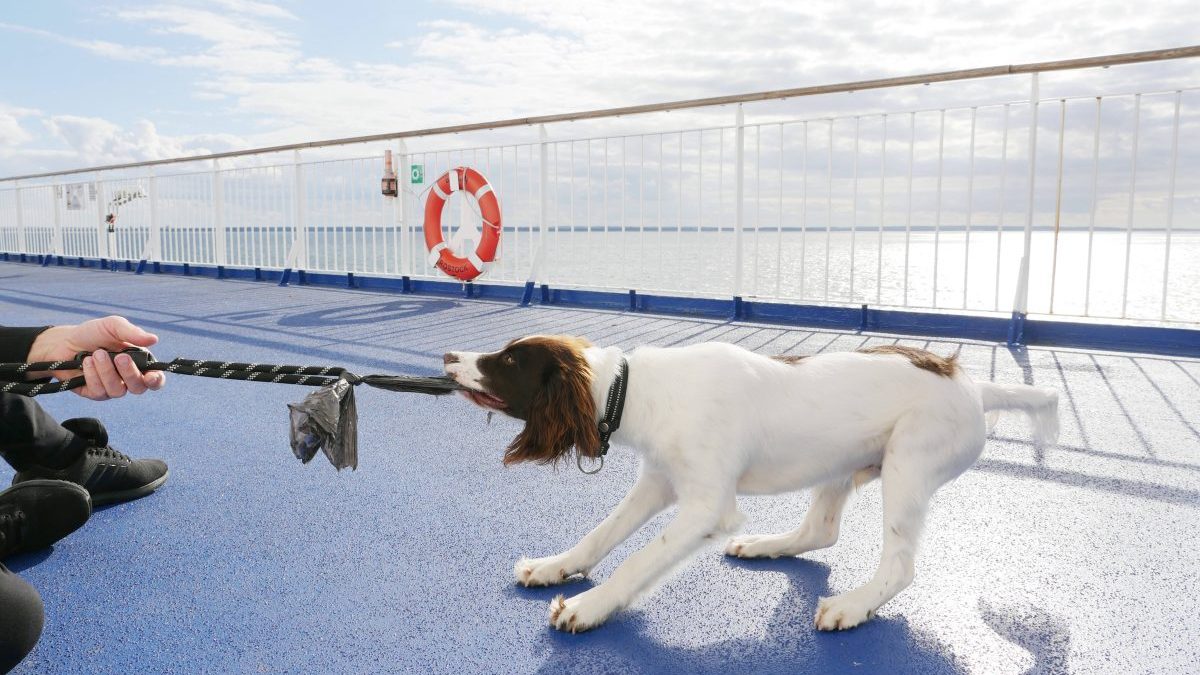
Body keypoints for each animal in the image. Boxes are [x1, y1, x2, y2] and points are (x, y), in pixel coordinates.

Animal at [444, 333, 1060, 629]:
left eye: (507, 360)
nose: (449, 356)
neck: (634, 389)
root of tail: (975, 386)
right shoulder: (659, 483)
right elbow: (601, 535)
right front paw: (555, 568)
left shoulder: (706, 506)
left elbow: (637, 560)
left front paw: (588, 608)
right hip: (841, 463)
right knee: (821, 530)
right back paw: (766, 546)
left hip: (909, 462)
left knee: (899, 566)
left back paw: (852, 606)